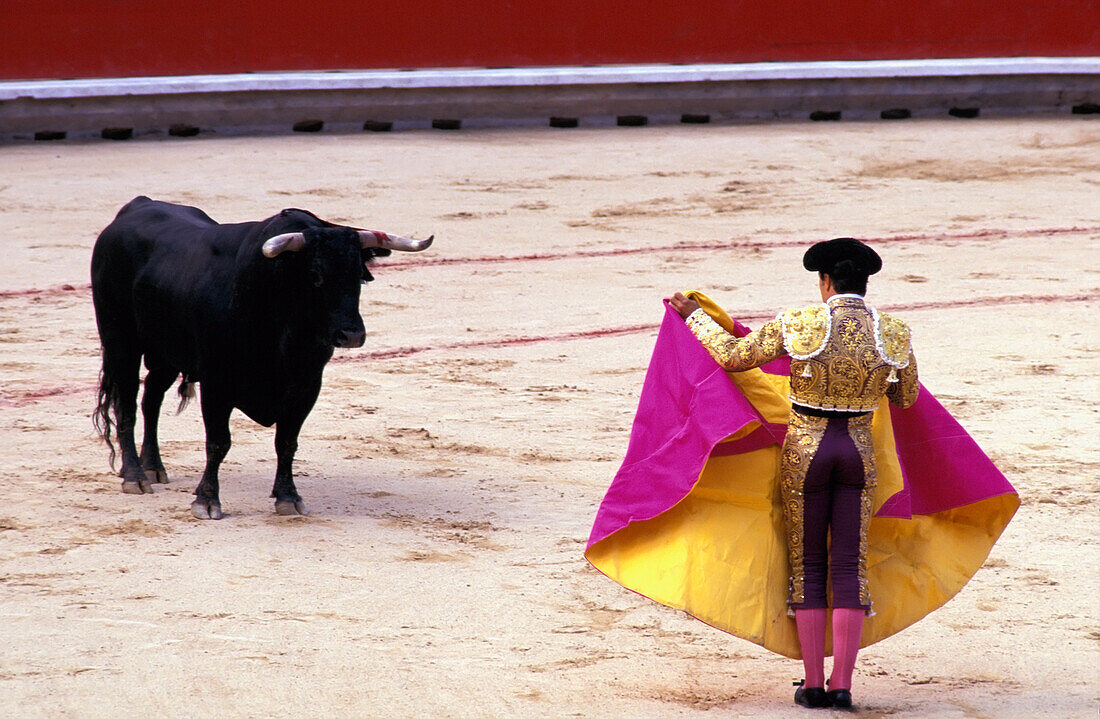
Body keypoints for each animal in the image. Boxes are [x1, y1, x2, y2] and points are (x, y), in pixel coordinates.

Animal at [91, 198, 433, 518]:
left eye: (360, 277)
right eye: (315, 275)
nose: (351, 335)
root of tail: (137, 206)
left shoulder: (307, 384)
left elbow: (287, 441)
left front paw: (288, 497)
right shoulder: (217, 382)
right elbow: (218, 442)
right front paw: (207, 500)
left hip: (167, 352)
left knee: (151, 399)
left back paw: (153, 467)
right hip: (120, 341)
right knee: (127, 405)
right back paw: (134, 476)